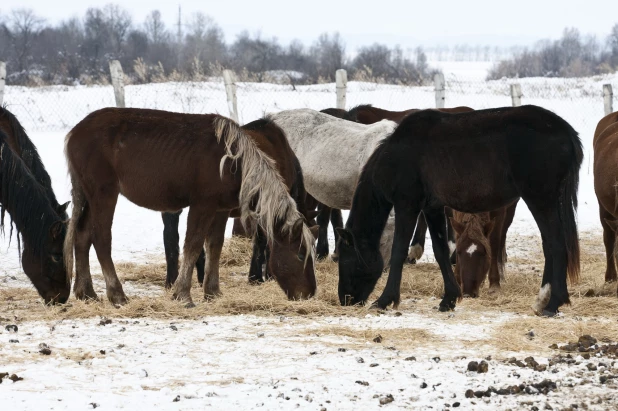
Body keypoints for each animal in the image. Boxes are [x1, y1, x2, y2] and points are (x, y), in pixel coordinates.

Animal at [63, 108, 318, 308]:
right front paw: (183, 294)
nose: (310, 293)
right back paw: (116, 295)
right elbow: (193, 245)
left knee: (82, 235)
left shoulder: (220, 210)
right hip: (104, 194)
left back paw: (86, 293)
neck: (233, 162)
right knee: (101, 238)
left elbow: (214, 246)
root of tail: (75, 133)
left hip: (89, 196)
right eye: (300, 254)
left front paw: (212, 292)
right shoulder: (202, 205)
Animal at [336, 105, 584, 316]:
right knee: (551, 245)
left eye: (346, 260)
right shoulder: (432, 208)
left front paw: (385, 300)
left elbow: (398, 252)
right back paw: (544, 300)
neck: (398, 154)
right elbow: (440, 251)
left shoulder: (407, 205)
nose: (345, 300)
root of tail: (565, 131)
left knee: (555, 245)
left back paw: (552, 303)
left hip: (541, 200)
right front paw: (449, 299)